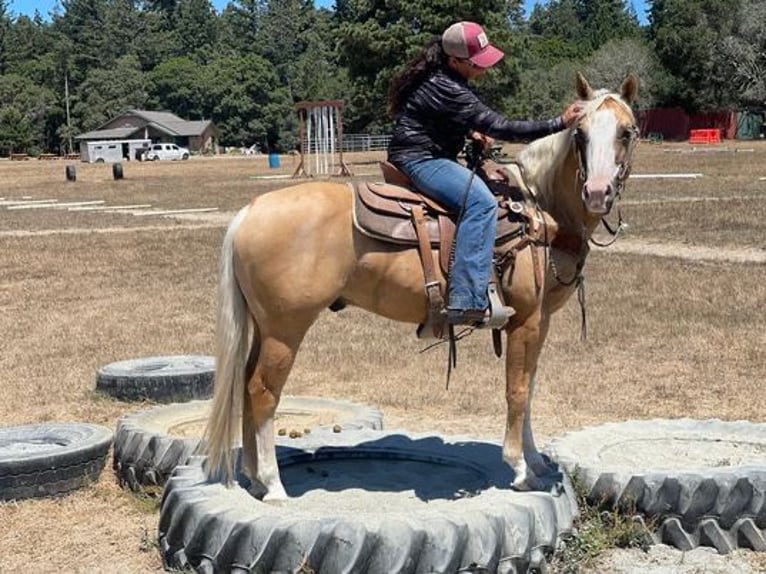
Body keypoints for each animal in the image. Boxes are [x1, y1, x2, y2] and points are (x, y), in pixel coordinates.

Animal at [203, 72, 639, 500]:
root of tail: (250, 212)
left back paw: (253, 477)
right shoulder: (526, 319)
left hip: (264, 327)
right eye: (580, 133)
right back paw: (273, 484)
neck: (539, 210)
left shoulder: (540, 320)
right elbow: (516, 389)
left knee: (245, 386)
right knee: (262, 391)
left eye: (627, 132)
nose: (597, 192)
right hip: (285, 330)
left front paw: (534, 460)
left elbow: (529, 388)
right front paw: (519, 468)